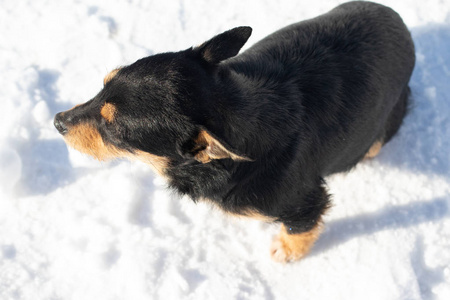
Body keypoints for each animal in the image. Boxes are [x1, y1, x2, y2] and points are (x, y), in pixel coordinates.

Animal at [55, 1, 414, 262]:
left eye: (114, 130)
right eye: (102, 86)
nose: (57, 121)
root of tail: (399, 19)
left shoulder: (305, 202)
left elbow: (299, 229)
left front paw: (287, 252)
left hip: (382, 128)